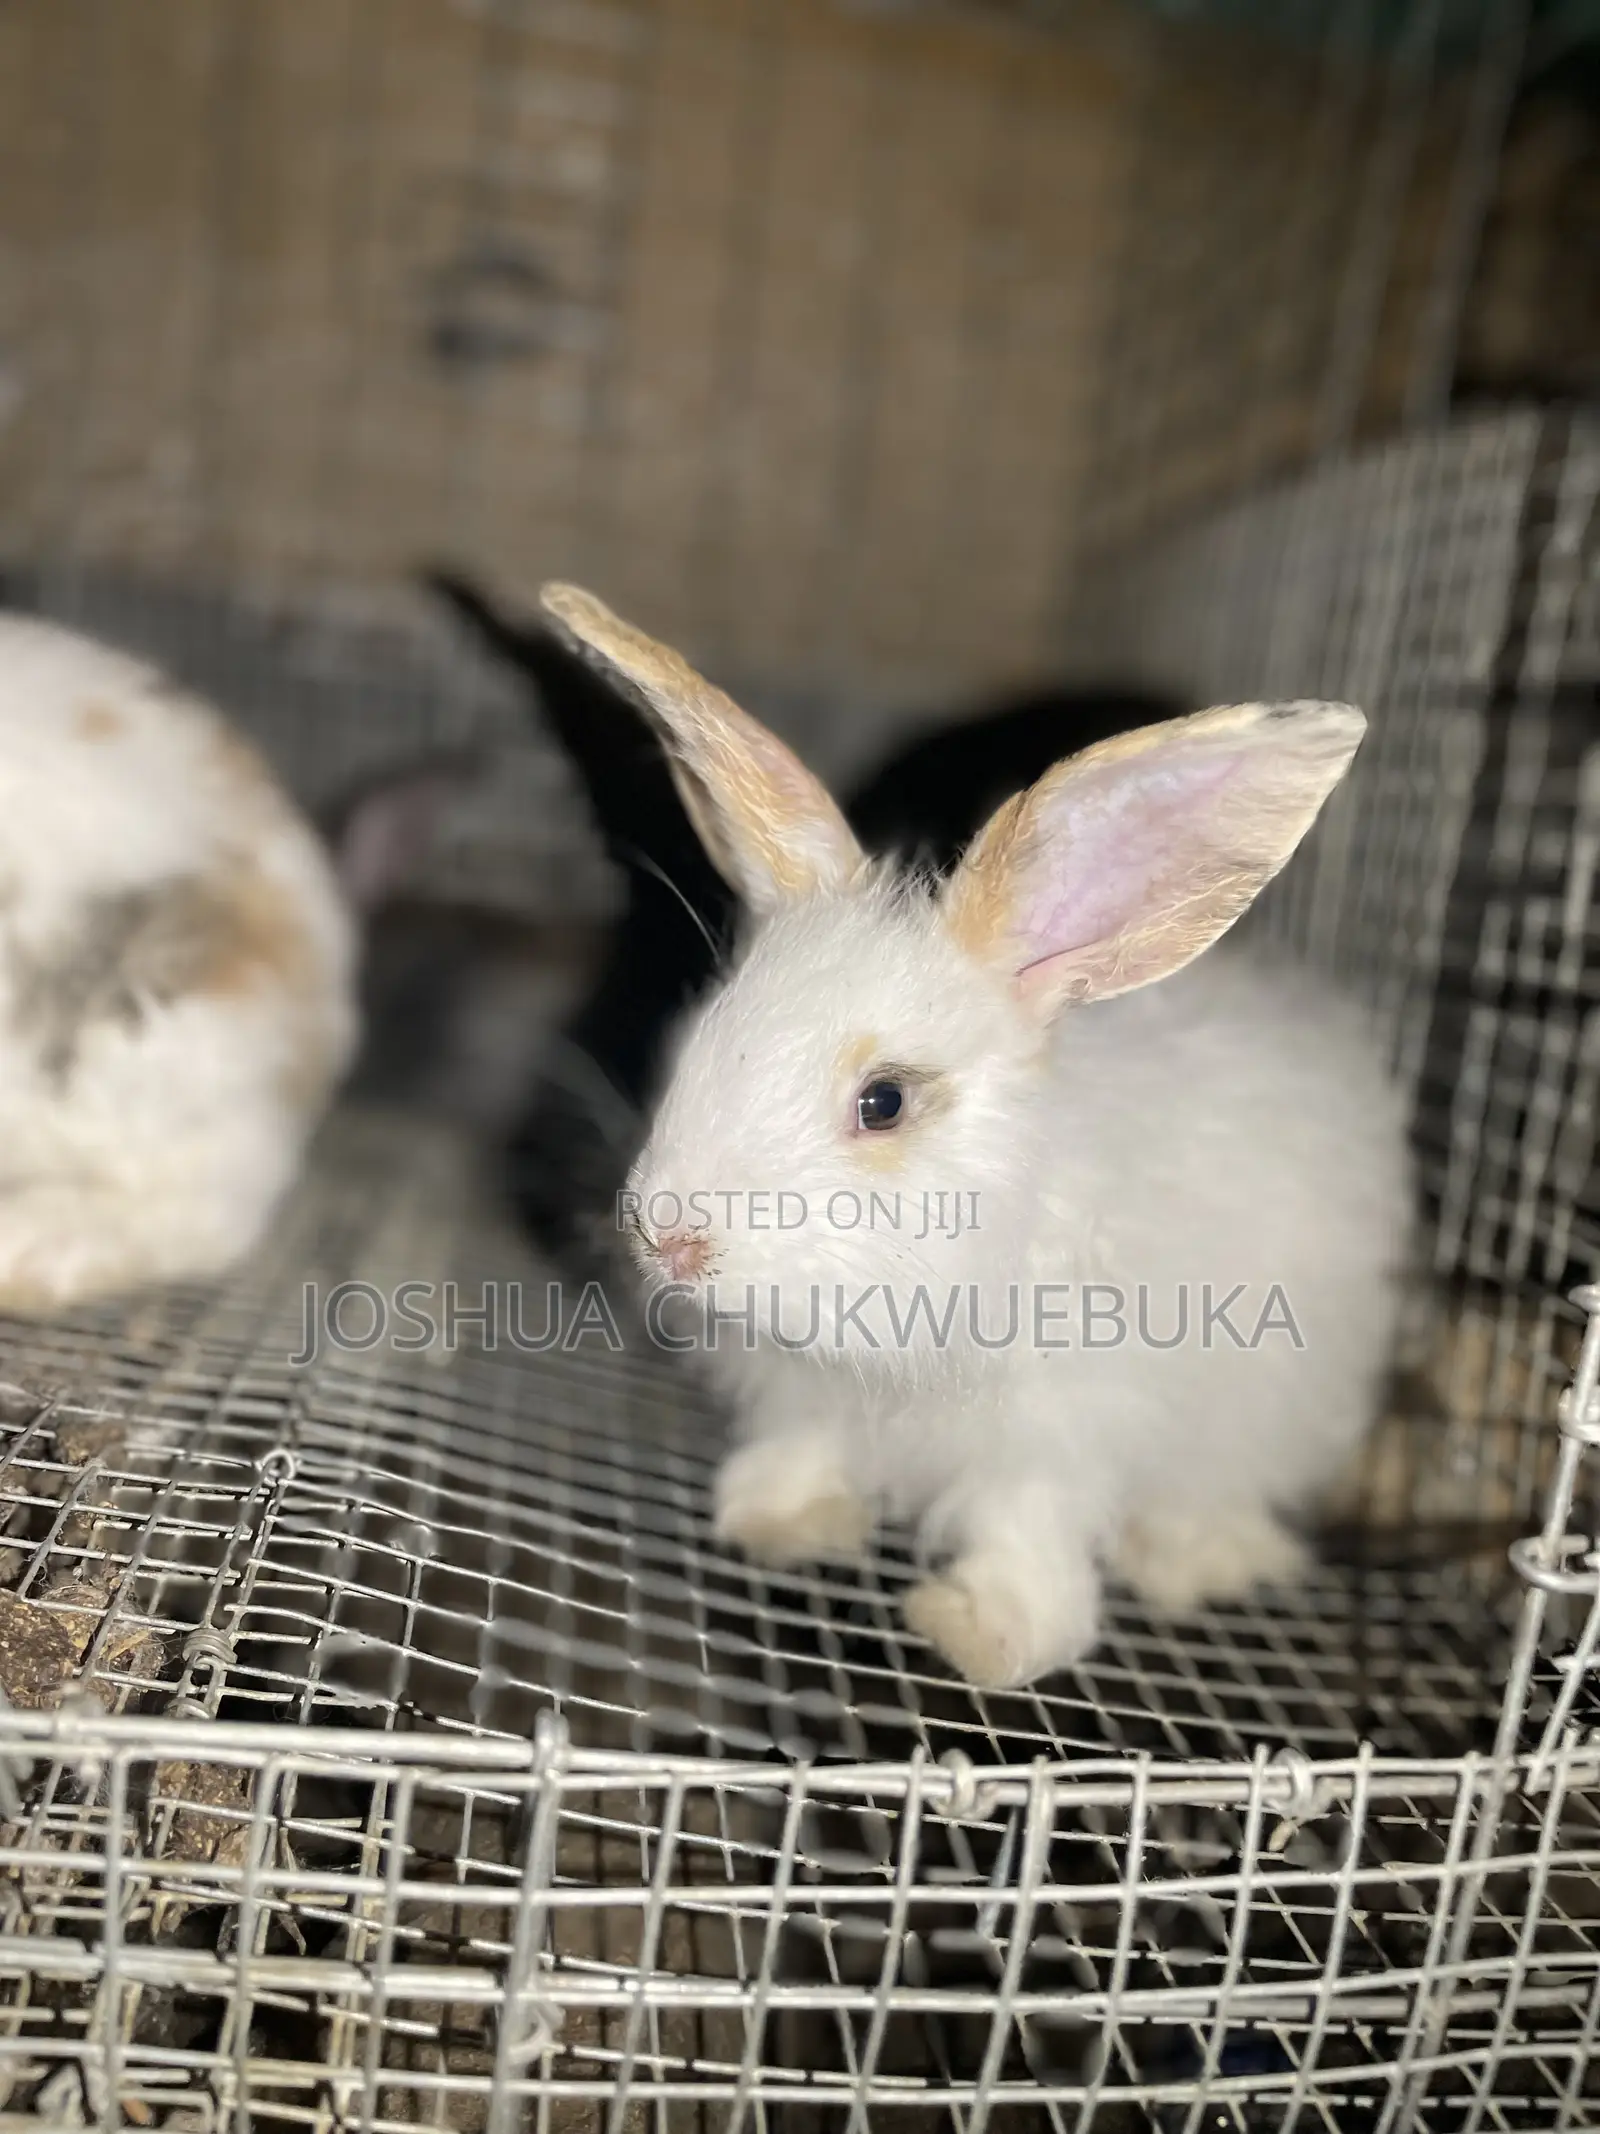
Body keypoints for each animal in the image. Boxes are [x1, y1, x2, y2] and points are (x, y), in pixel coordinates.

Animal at [534, 582, 1416, 1690]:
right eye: (700, 1038)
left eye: (884, 1102)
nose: (672, 1241)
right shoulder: (810, 1398)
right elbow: (804, 1453)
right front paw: (776, 1524)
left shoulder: (1058, 1434)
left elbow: (1024, 1536)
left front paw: (983, 1636)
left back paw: (1193, 1564)